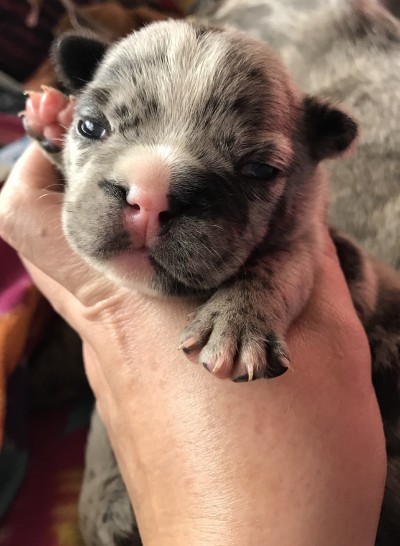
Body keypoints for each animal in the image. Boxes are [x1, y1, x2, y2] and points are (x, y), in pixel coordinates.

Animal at [25, 18, 400, 544]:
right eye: (90, 127)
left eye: (259, 170)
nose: (149, 193)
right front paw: (48, 123)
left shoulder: (307, 245)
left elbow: (272, 271)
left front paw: (236, 324)